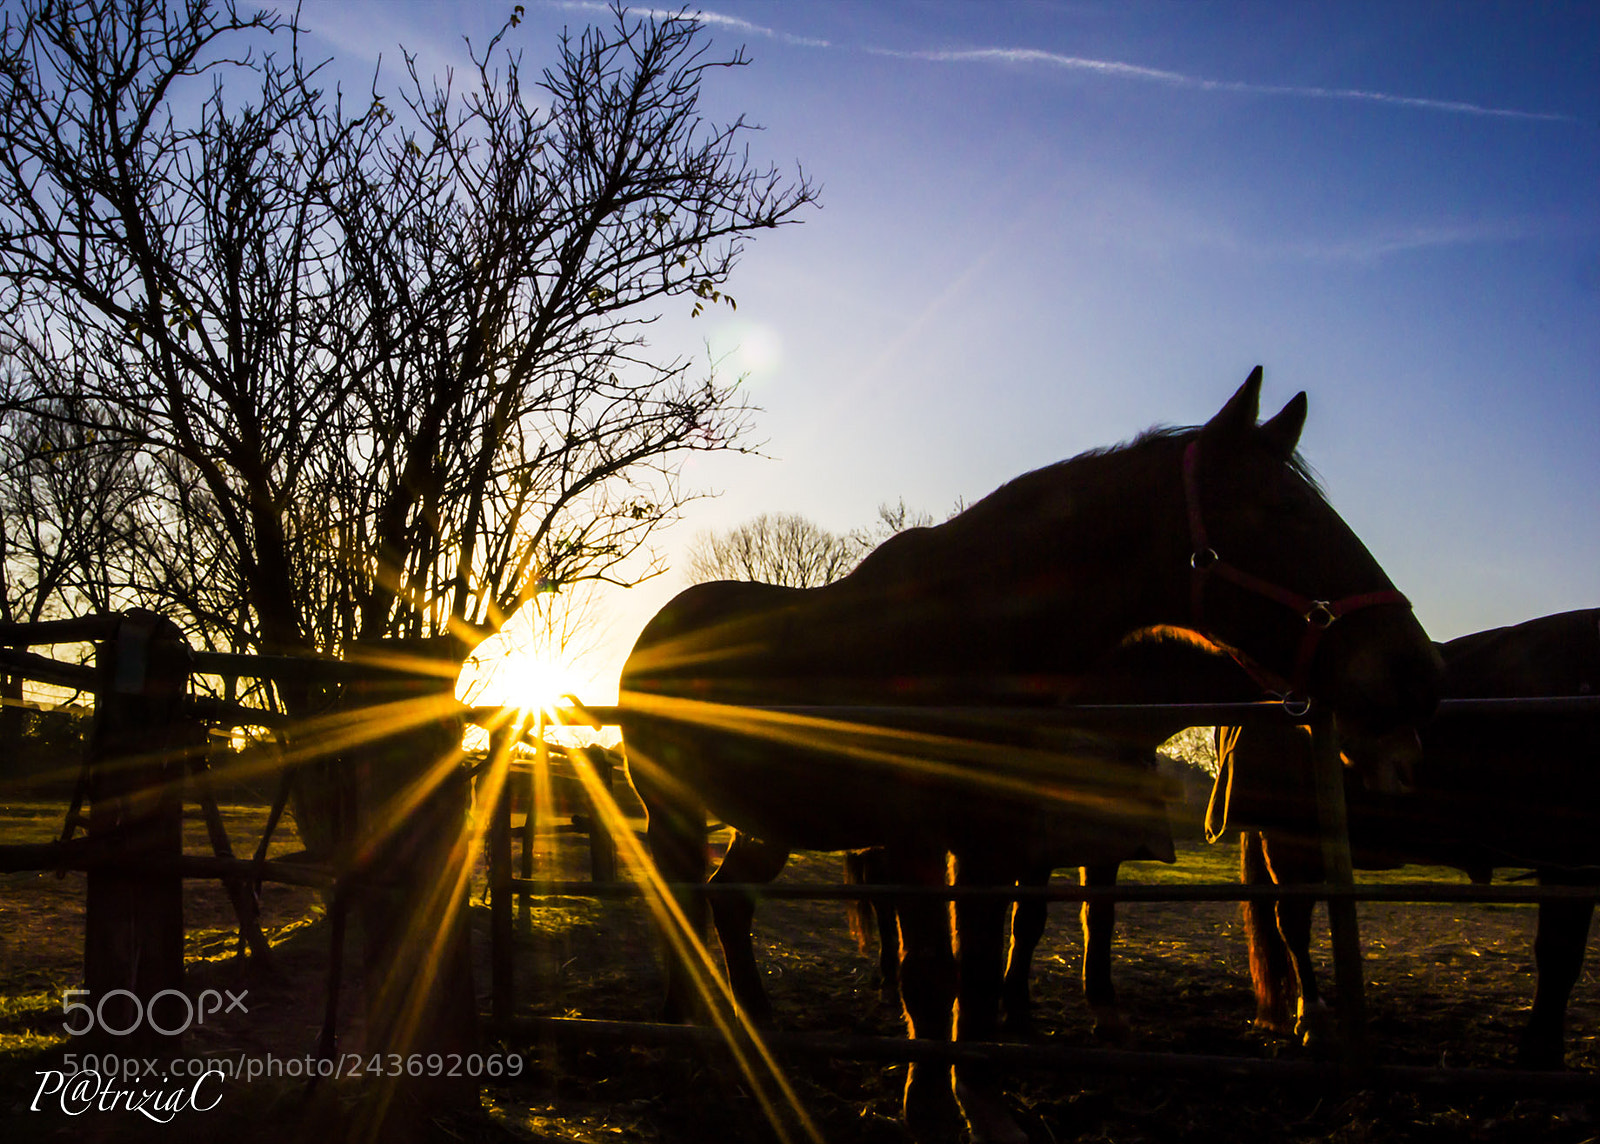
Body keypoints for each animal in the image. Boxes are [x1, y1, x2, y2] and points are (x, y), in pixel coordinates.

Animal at [619, 368, 1442, 1143]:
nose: (1418, 672)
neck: (969, 639)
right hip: (674, 809)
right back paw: (686, 1029)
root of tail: (657, 628)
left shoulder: (995, 840)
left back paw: (756, 1022)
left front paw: (981, 1104)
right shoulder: (918, 841)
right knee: (681, 904)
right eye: (1283, 512)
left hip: (770, 820)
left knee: (727, 901)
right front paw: (927, 1111)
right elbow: (929, 975)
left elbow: (980, 971)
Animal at [1230, 608, 1600, 1068]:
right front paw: (1541, 1052)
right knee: (1293, 927)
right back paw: (1314, 1024)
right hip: (1290, 847)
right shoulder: (1568, 861)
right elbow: (1558, 956)